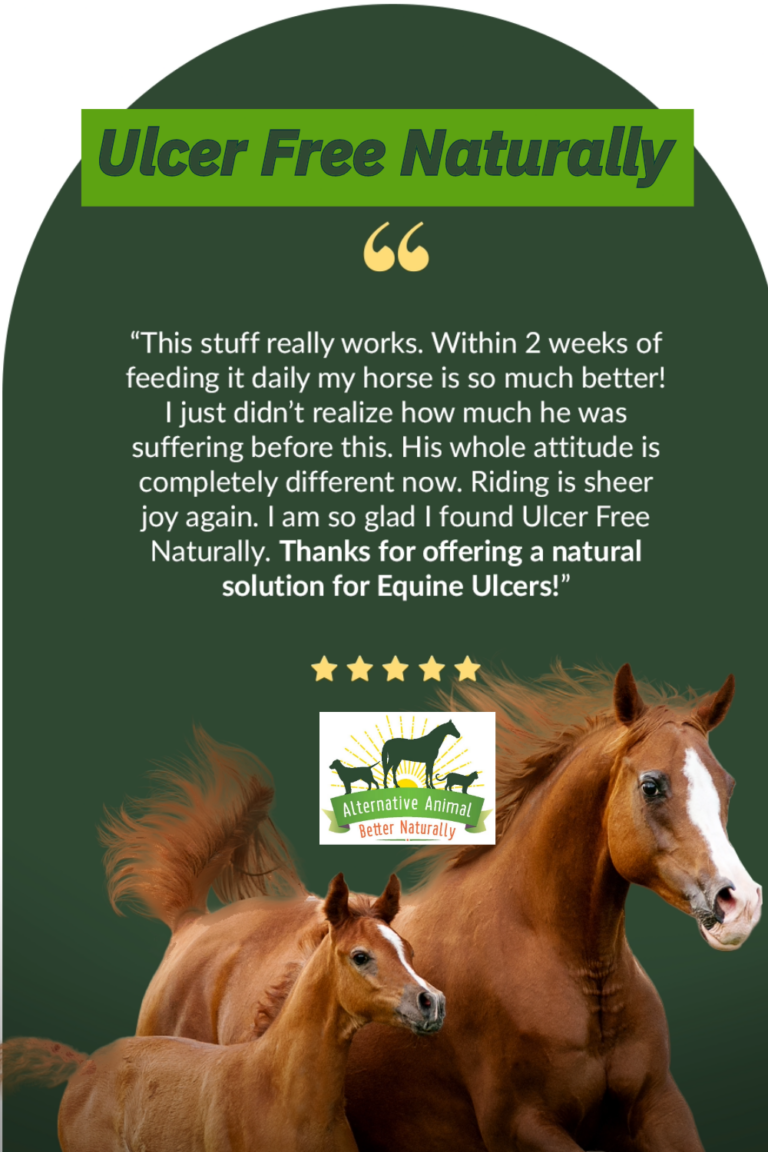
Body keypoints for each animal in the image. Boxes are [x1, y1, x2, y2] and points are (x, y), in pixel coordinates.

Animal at [103, 666, 762, 1151]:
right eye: (652, 785)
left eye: (727, 784)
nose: (739, 903)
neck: (573, 971)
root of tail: (191, 924)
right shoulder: (521, 1126)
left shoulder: (658, 1110)